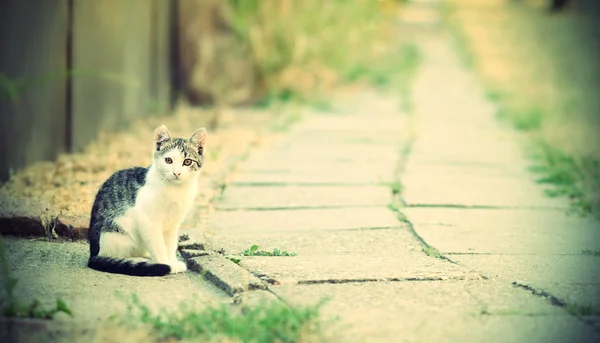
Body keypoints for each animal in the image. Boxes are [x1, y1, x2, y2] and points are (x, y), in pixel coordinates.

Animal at [86, 125, 207, 278]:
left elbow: (170, 244)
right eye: (168, 160)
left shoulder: (173, 224)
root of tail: (92, 254)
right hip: (116, 230)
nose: (177, 173)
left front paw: (172, 261)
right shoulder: (148, 220)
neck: (175, 190)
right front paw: (165, 264)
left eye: (187, 162)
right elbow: (158, 245)